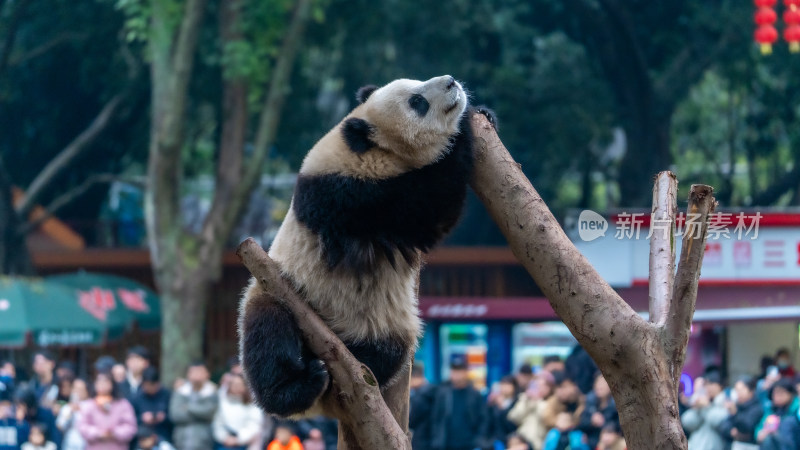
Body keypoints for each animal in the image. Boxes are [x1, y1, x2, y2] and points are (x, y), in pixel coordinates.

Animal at [239, 75, 494, 416]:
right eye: (417, 102)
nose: (452, 82)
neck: (369, 149)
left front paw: (484, 112)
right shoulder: (350, 196)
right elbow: (429, 209)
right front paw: (463, 128)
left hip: (382, 324)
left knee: (388, 349)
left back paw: (359, 364)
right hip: (278, 289)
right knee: (269, 333)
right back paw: (299, 385)